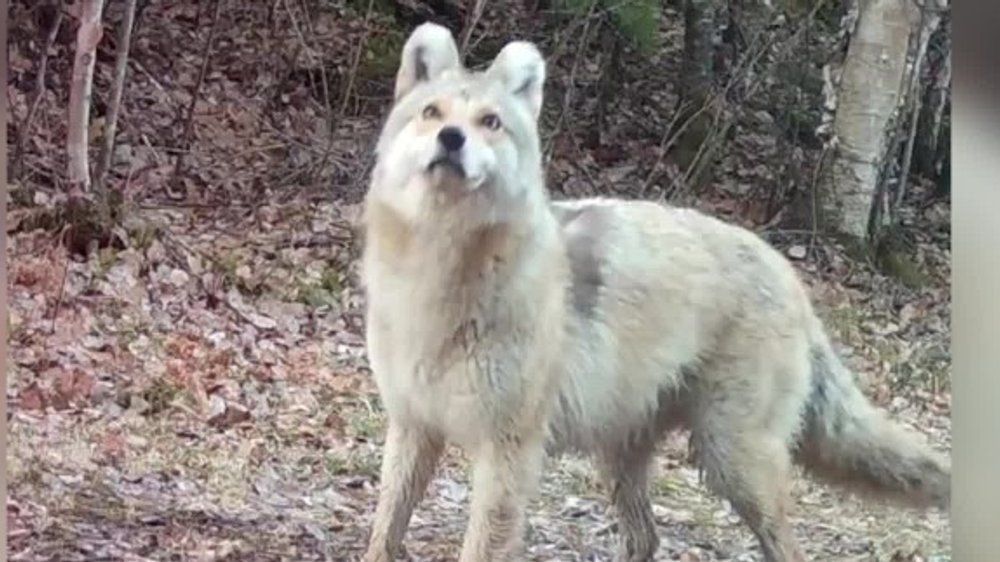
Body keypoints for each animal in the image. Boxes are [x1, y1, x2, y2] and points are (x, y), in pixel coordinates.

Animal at [359, 23, 950, 562]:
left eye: (490, 123)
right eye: (432, 113)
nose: (451, 139)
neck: (438, 270)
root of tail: (788, 272)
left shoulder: (509, 451)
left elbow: (481, 544)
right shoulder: (412, 428)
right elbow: (384, 530)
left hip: (731, 462)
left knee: (781, 547)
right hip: (628, 458)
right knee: (646, 538)